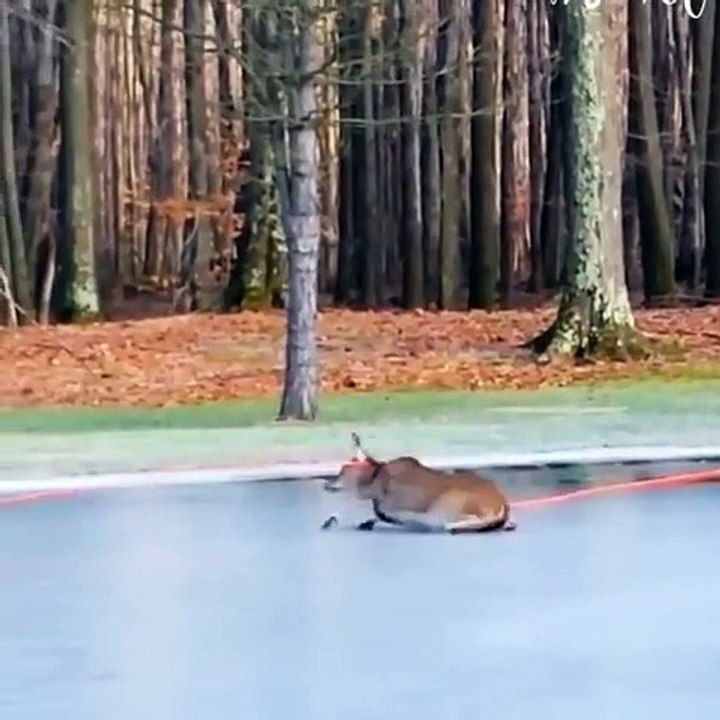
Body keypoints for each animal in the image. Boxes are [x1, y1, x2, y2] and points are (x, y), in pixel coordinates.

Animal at [321, 433, 516, 534]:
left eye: (342, 470)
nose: (327, 485)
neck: (375, 479)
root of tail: (501, 503)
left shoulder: (390, 504)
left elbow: (380, 513)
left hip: (451, 503)